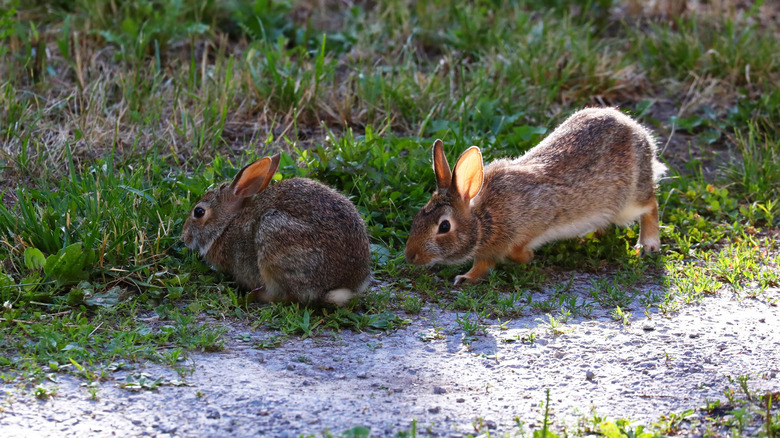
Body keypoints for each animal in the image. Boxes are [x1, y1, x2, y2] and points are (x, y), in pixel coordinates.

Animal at [406, 106, 668, 284]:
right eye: (418, 216)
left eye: (444, 227)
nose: (410, 256)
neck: (484, 220)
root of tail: (638, 131)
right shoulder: (487, 250)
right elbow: (482, 265)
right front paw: (467, 278)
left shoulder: (538, 217)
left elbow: (516, 250)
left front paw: (528, 256)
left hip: (629, 201)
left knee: (650, 205)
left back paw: (648, 244)